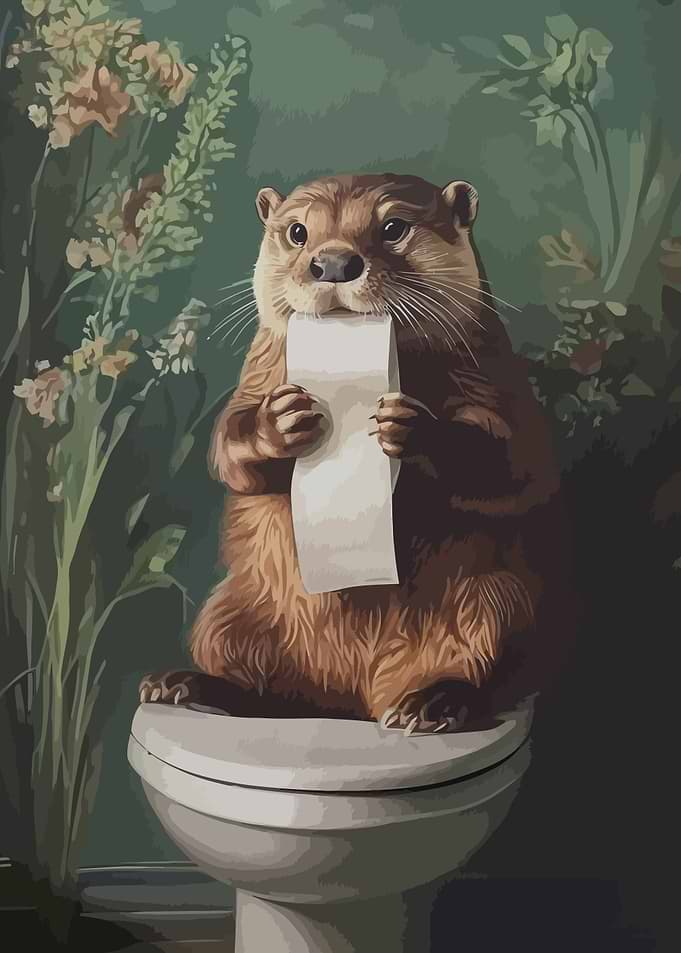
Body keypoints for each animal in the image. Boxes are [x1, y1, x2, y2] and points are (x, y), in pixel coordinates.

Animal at [139, 172, 567, 734]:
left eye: (393, 227)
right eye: (298, 231)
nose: (333, 262)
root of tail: (358, 699)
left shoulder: (499, 379)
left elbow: (522, 470)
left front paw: (411, 428)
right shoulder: (257, 373)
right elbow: (228, 451)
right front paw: (281, 422)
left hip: (496, 602)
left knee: (489, 668)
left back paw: (433, 704)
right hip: (227, 612)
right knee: (263, 688)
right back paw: (184, 685)